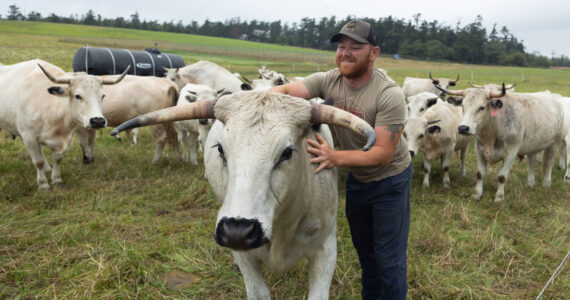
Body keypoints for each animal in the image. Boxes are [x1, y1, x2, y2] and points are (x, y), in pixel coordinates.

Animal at [0, 59, 126, 189]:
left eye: (103, 96)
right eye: (77, 96)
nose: (98, 121)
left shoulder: (64, 139)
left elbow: (58, 159)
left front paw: (56, 179)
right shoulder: (29, 138)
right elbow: (38, 162)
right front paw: (43, 184)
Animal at [434, 84, 564, 202]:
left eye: (481, 107)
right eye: (462, 106)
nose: (463, 128)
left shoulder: (511, 152)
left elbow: (502, 176)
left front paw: (499, 197)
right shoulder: (479, 150)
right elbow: (480, 174)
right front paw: (477, 194)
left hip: (553, 144)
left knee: (550, 162)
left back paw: (546, 183)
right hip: (533, 145)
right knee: (532, 162)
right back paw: (530, 183)